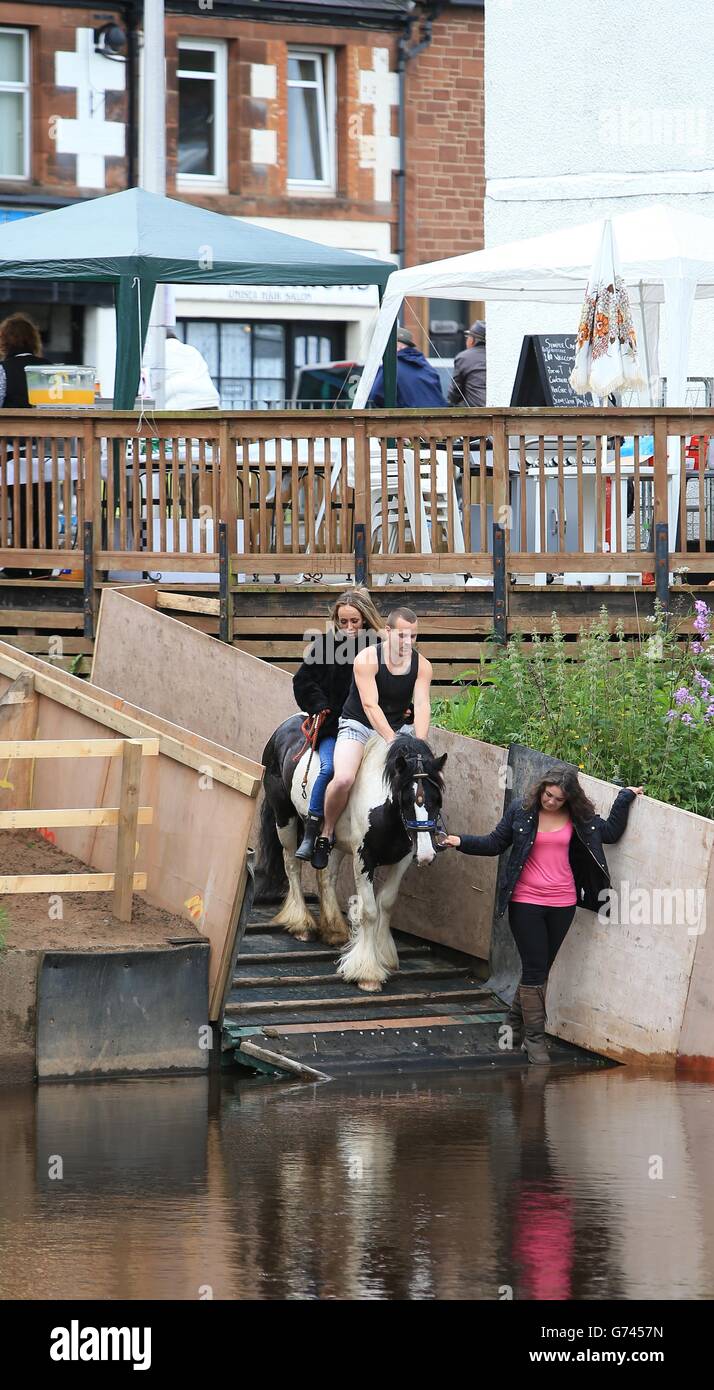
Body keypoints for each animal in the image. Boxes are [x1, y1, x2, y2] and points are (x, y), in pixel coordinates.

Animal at [255, 717, 444, 989]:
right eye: (407, 800)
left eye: (437, 799)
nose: (428, 854)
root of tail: (286, 725)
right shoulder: (364, 858)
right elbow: (369, 911)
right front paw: (367, 972)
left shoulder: (404, 858)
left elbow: (387, 902)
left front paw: (384, 955)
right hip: (285, 817)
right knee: (291, 864)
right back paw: (301, 924)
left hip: (333, 841)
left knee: (326, 876)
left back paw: (334, 930)